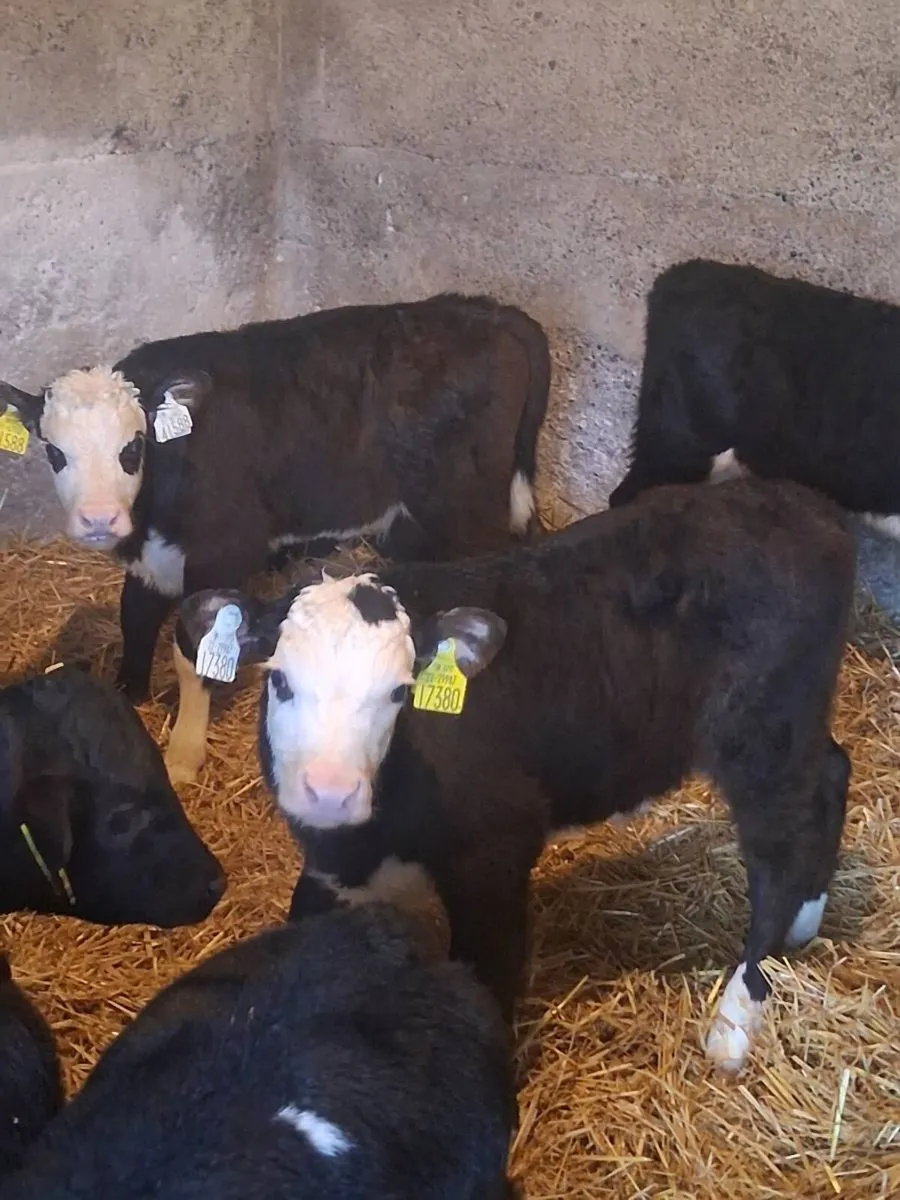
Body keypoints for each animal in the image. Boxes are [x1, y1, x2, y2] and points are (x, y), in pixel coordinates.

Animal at [0, 294, 550, 786]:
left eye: (132, 447)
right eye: (54, 451)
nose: (100, 519)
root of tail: (487, 309)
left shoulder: (221, 555)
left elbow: (194, 648)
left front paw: (183, 753)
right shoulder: (152, 561)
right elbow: (133, 619)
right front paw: (126, 697)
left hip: (470, 507)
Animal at [179, 475, 856, 1074]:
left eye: (399, 692)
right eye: (278, 680)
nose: (330, 791)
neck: (372, 838)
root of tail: (805, 507)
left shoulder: (496, 854)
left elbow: (489, 974)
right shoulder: (332, 871)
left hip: (760, 732)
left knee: (780, 846)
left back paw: (736, 1017)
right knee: (830, 776)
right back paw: (803, 925)